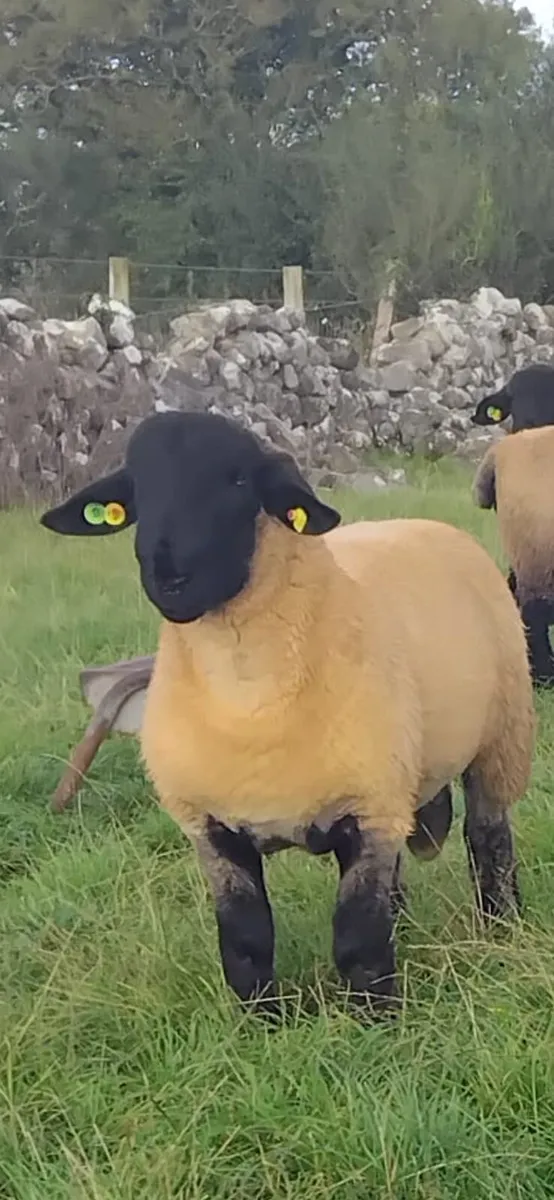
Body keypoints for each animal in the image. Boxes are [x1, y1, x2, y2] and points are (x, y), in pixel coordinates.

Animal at [40, 411, 535, 1016]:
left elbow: (358, 939)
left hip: (501, 738)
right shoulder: (213, 830)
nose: (168, 576)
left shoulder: (367, 810)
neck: (248, 695)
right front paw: (261, 1022)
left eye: (237, 480)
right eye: (136, 491)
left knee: (489, 839)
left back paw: (501, 927)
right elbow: (246, 939)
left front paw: (376, 1024)